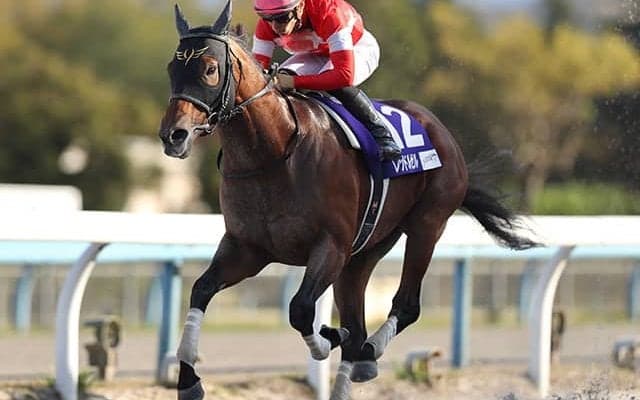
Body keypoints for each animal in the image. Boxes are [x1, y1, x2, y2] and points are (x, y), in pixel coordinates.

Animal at [158, 3, 538, 399]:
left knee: (404, 307)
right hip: (365, 252)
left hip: (427, 225)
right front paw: (188, 380)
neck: (274, 153)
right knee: (357, 323)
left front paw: (328, 338)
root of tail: (440, 129)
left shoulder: (331, 246)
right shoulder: (247, 249)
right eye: (172, 68)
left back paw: (370, 351)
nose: (174, 135)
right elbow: (201, 290)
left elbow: (301, 309)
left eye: (210, 69)